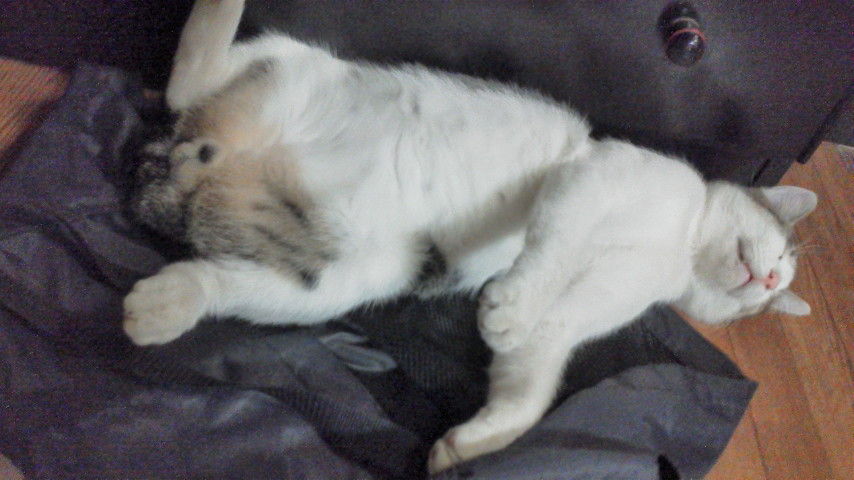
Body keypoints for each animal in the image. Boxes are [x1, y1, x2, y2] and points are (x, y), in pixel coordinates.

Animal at [124, 0, 817, 473]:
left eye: (763, 303)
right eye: (782, 247)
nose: (770, 278)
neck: (676, 251)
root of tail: (199, 161)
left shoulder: (564, 326)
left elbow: (531, 386)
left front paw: (472, 445)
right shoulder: (591, 175)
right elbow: (551, 249)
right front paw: (506, 309)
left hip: (345, 278)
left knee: (222, 274)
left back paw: (161, 306)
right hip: (297, 64)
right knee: (186, 80)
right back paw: (222, 6)